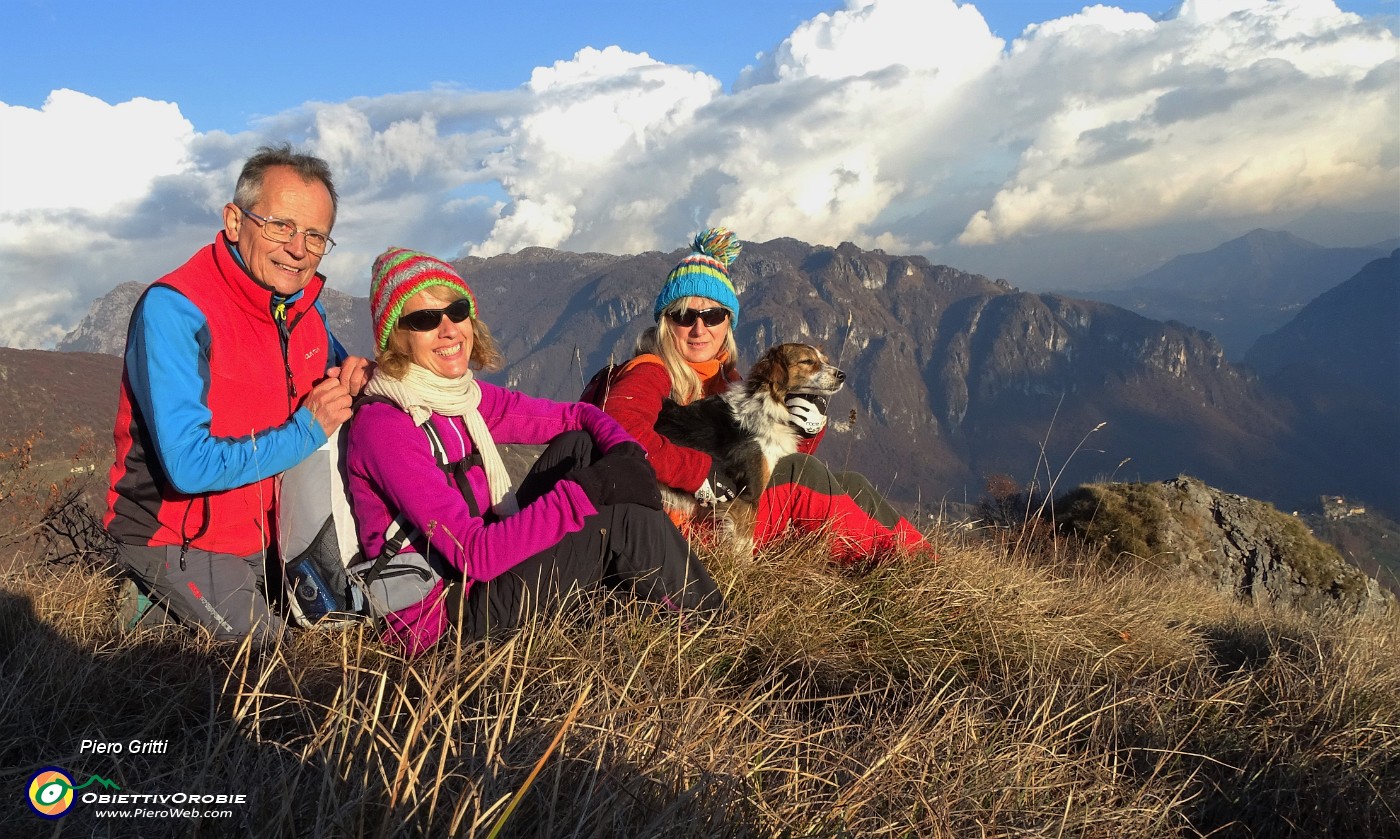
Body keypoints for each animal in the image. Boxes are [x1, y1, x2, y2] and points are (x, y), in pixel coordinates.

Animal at [652, 343, 840, 535]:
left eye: (825, 360)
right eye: (807, 361)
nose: (842, 375)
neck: (768, 407)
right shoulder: (748, 496)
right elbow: (745, 541)